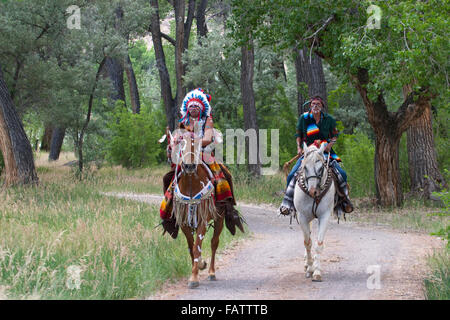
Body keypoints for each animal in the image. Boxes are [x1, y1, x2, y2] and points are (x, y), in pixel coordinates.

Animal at [173, 131, 227, 288]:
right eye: (181, 143)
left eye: (196, 144)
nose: (189, 166)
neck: (191, 184)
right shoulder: (184, 222)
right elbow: (192, 247)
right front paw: (198, 266)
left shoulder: (203, 220)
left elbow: (197, 247)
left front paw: (194, 278)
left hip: (219, 218)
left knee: (214, 243)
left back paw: (211, 273)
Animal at [294, 142, 336, 280]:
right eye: (305, 167)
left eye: (321, 168)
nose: (313, 191)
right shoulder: (302, 217)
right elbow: (308, 243)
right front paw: (310, 268)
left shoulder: (325, 216)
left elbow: (318, 244)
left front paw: (317, 271)